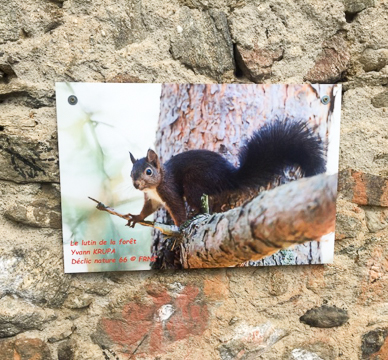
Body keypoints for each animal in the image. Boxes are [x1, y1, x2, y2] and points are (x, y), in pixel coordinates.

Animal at [126, 121, 324, 228]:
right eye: (131, 173)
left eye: (148, 171)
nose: (136, 185)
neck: (155, 186)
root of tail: (228, 177)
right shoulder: (152, 198)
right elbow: (147, 210)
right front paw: (136, 217)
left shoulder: (169, 190)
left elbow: (178, 208)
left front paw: (180, 227)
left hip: (194, 182)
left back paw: (195, 215)